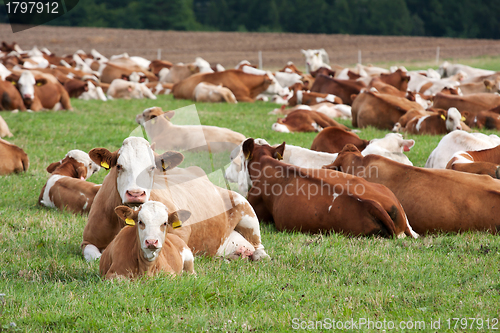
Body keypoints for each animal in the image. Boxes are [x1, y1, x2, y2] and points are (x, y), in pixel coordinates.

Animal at [82, 136, 270, 262]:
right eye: (119, 166)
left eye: (152, 168)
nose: (135, 193)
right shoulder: (88, 241)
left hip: (246, 209)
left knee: (259, 247)